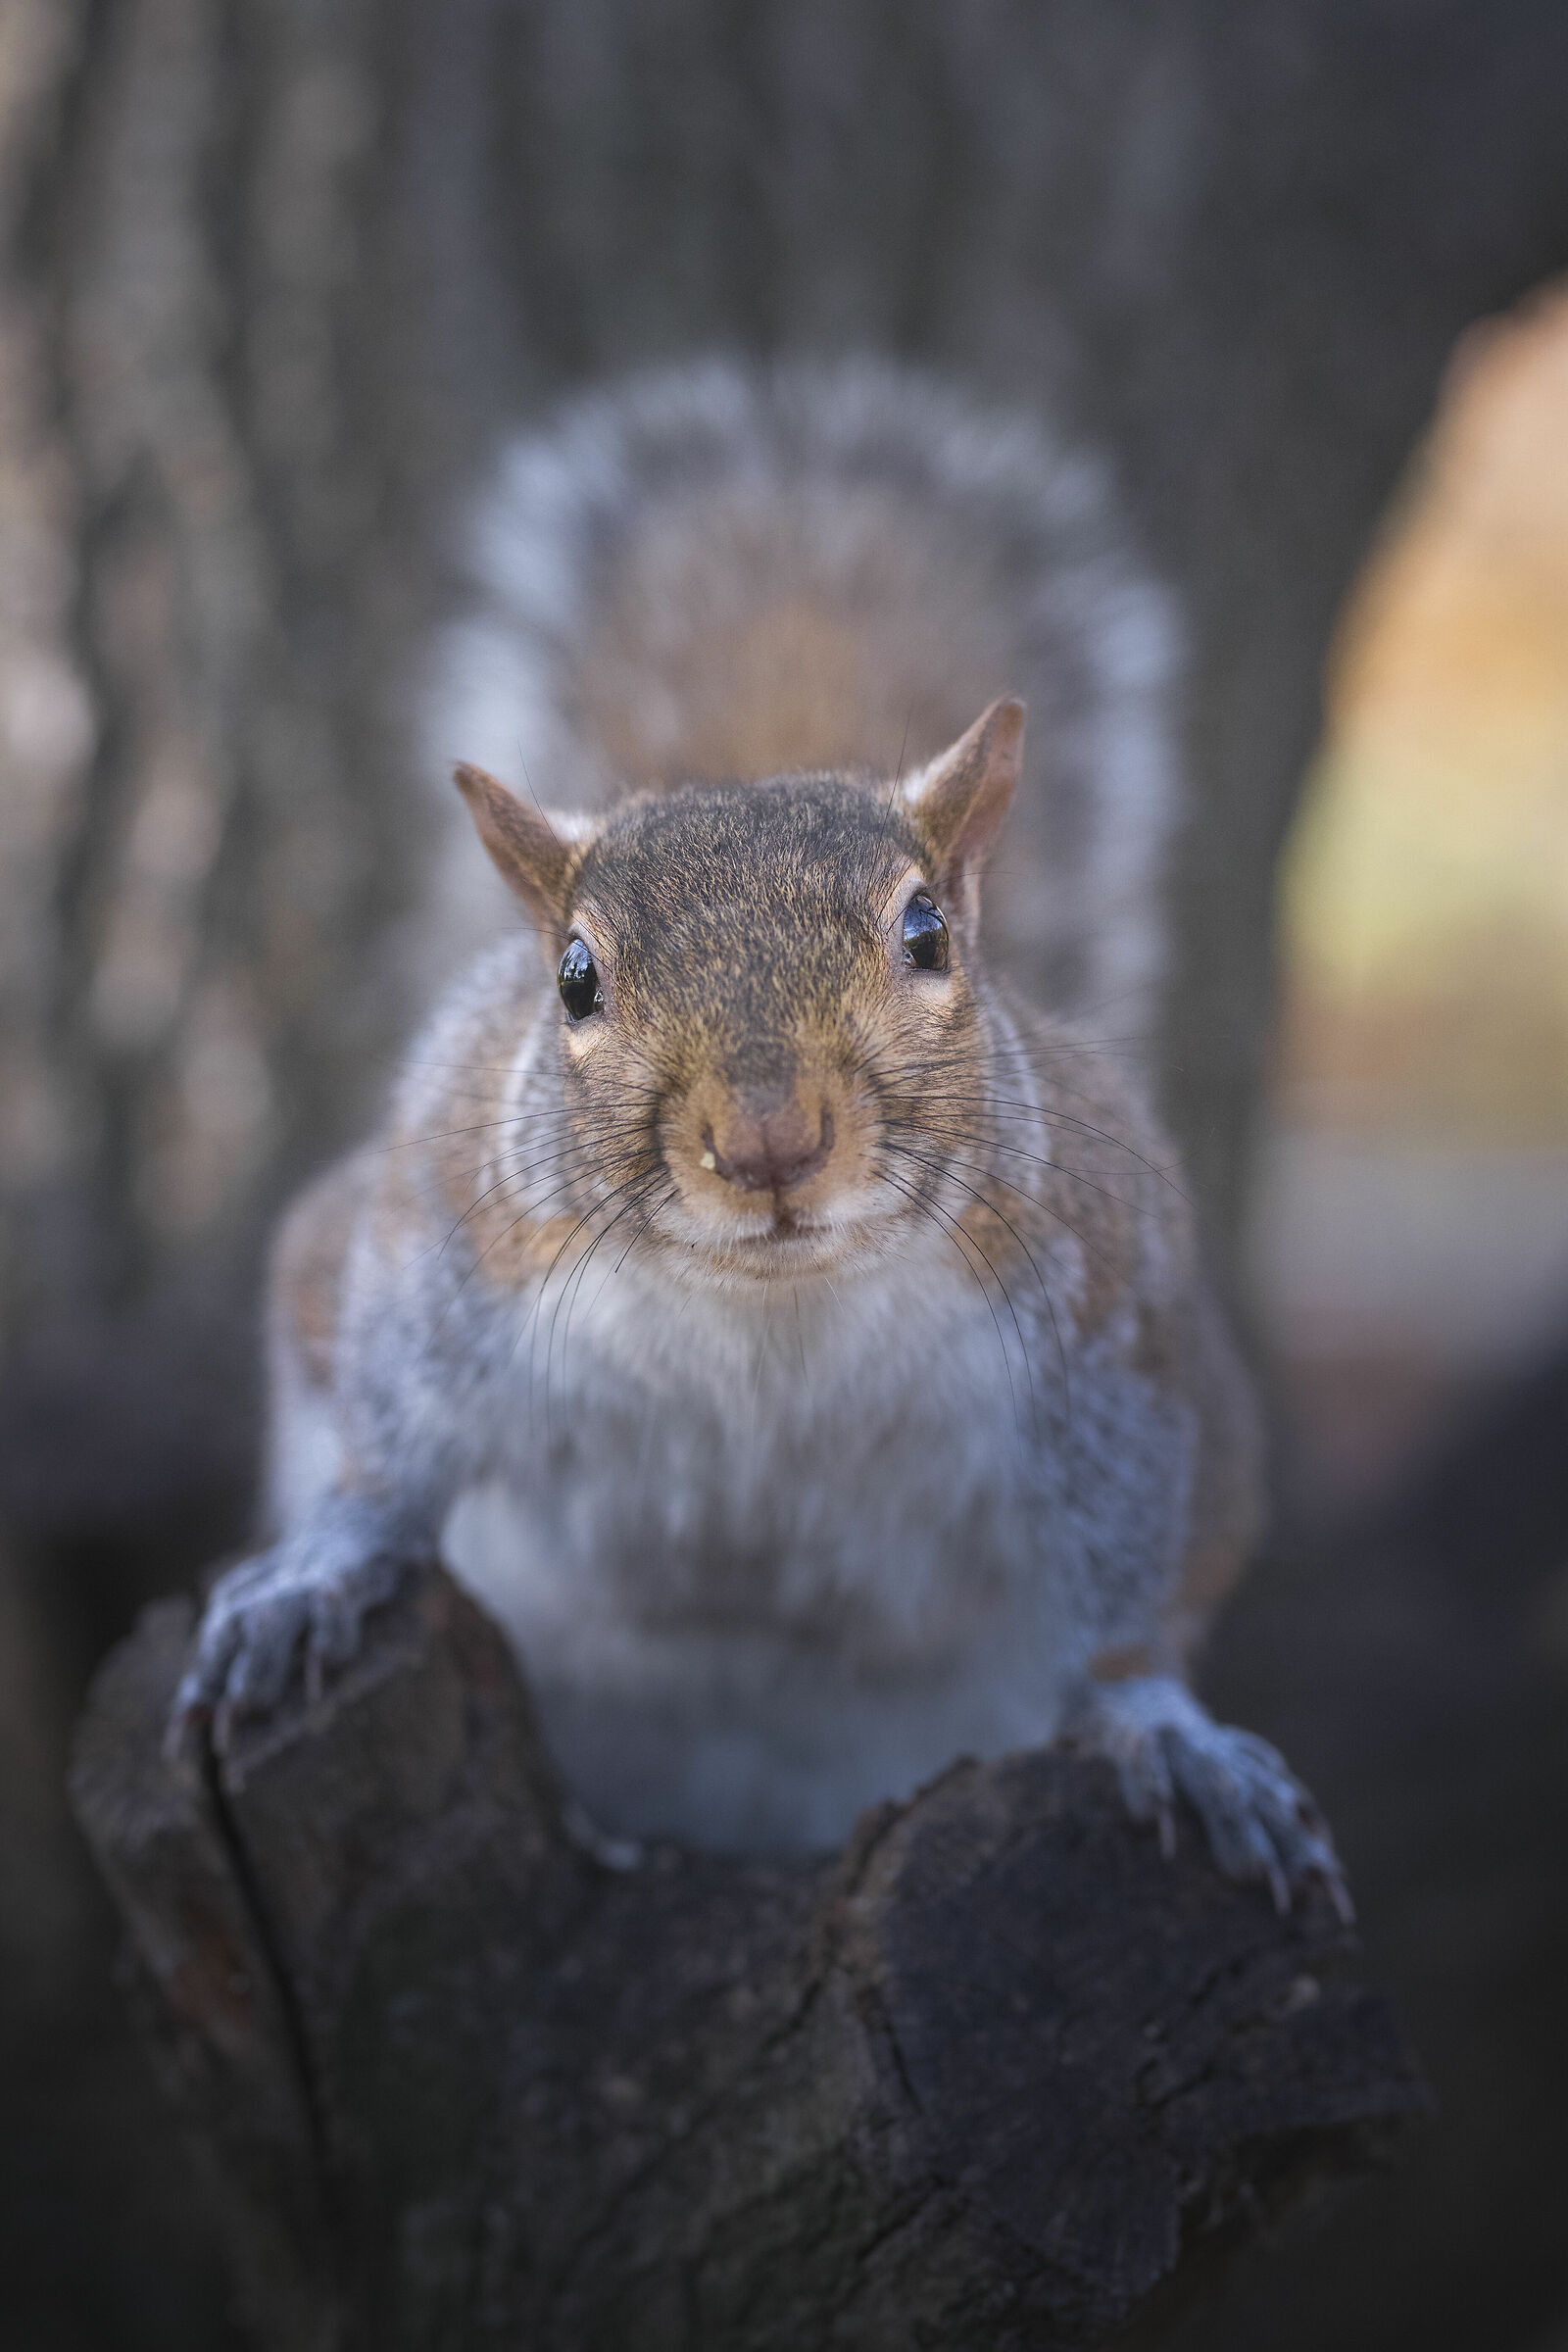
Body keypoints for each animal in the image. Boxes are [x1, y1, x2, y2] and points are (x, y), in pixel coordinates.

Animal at [172, 360, 1347, 1916]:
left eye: (928, 934)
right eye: (573, 979)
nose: (771, 1139)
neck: (767, 1310)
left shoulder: (1119, 1329)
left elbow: (1127, 1584)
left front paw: (1164, 1731)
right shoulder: (440, 1239)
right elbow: (385, 1436)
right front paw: (316, 1574)